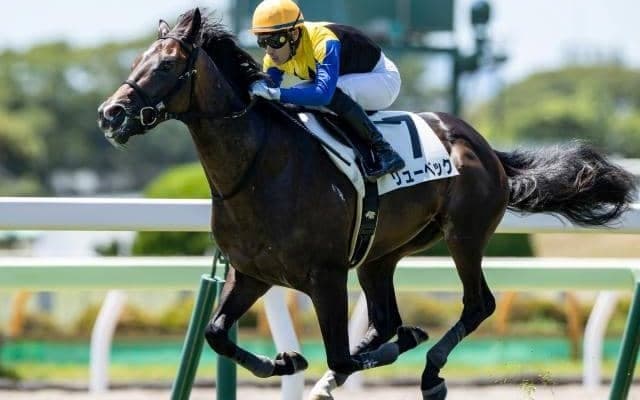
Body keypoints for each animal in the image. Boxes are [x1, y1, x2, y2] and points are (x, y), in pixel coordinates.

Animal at [97, 9, 636, 400]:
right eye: (135, 62)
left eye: (167, 65)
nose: (110, 113)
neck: (260, 168)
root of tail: (483, 146)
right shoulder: (251, 272)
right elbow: (215, 332)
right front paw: (286, 360)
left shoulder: (325, 275)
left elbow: (338, 352)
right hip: (382, 253)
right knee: (384, 320)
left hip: (463, 235)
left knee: (476, 304)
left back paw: (428, 371)